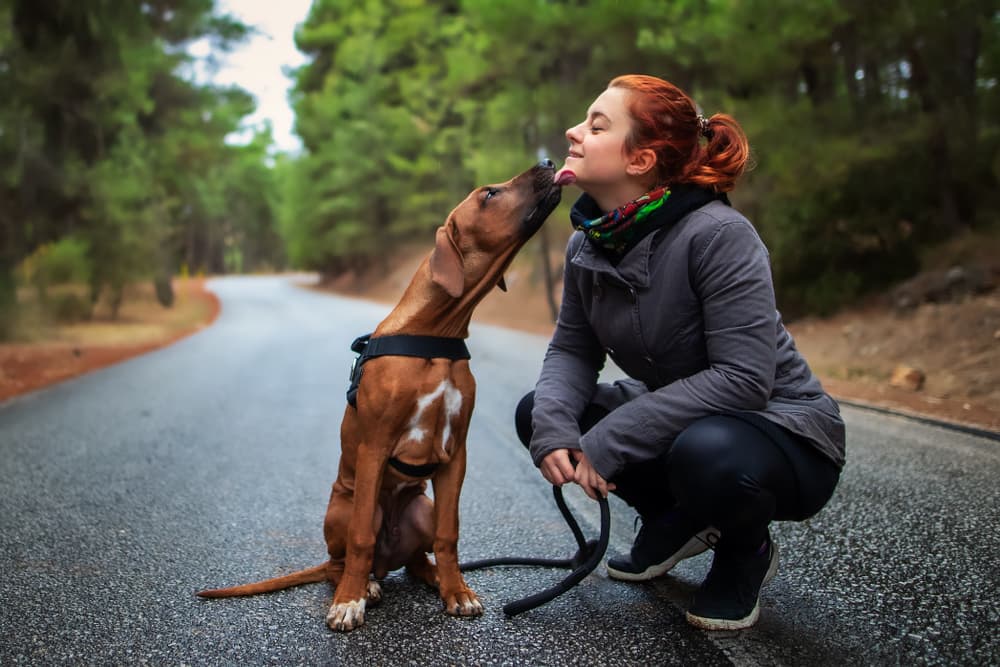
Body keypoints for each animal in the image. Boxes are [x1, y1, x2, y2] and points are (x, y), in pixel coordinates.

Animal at [197, 160, 564, 632]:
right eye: (489, 194)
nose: (548, 163)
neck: (435, 333)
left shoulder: (457, 454)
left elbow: (449, 534)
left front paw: (457, 591)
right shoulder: (373, 448)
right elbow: (359, 540)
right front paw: (348, 603)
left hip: (421, 508)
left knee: (415, 558)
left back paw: (429, 576)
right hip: (348, 508)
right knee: (345, 559)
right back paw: (362, 586)